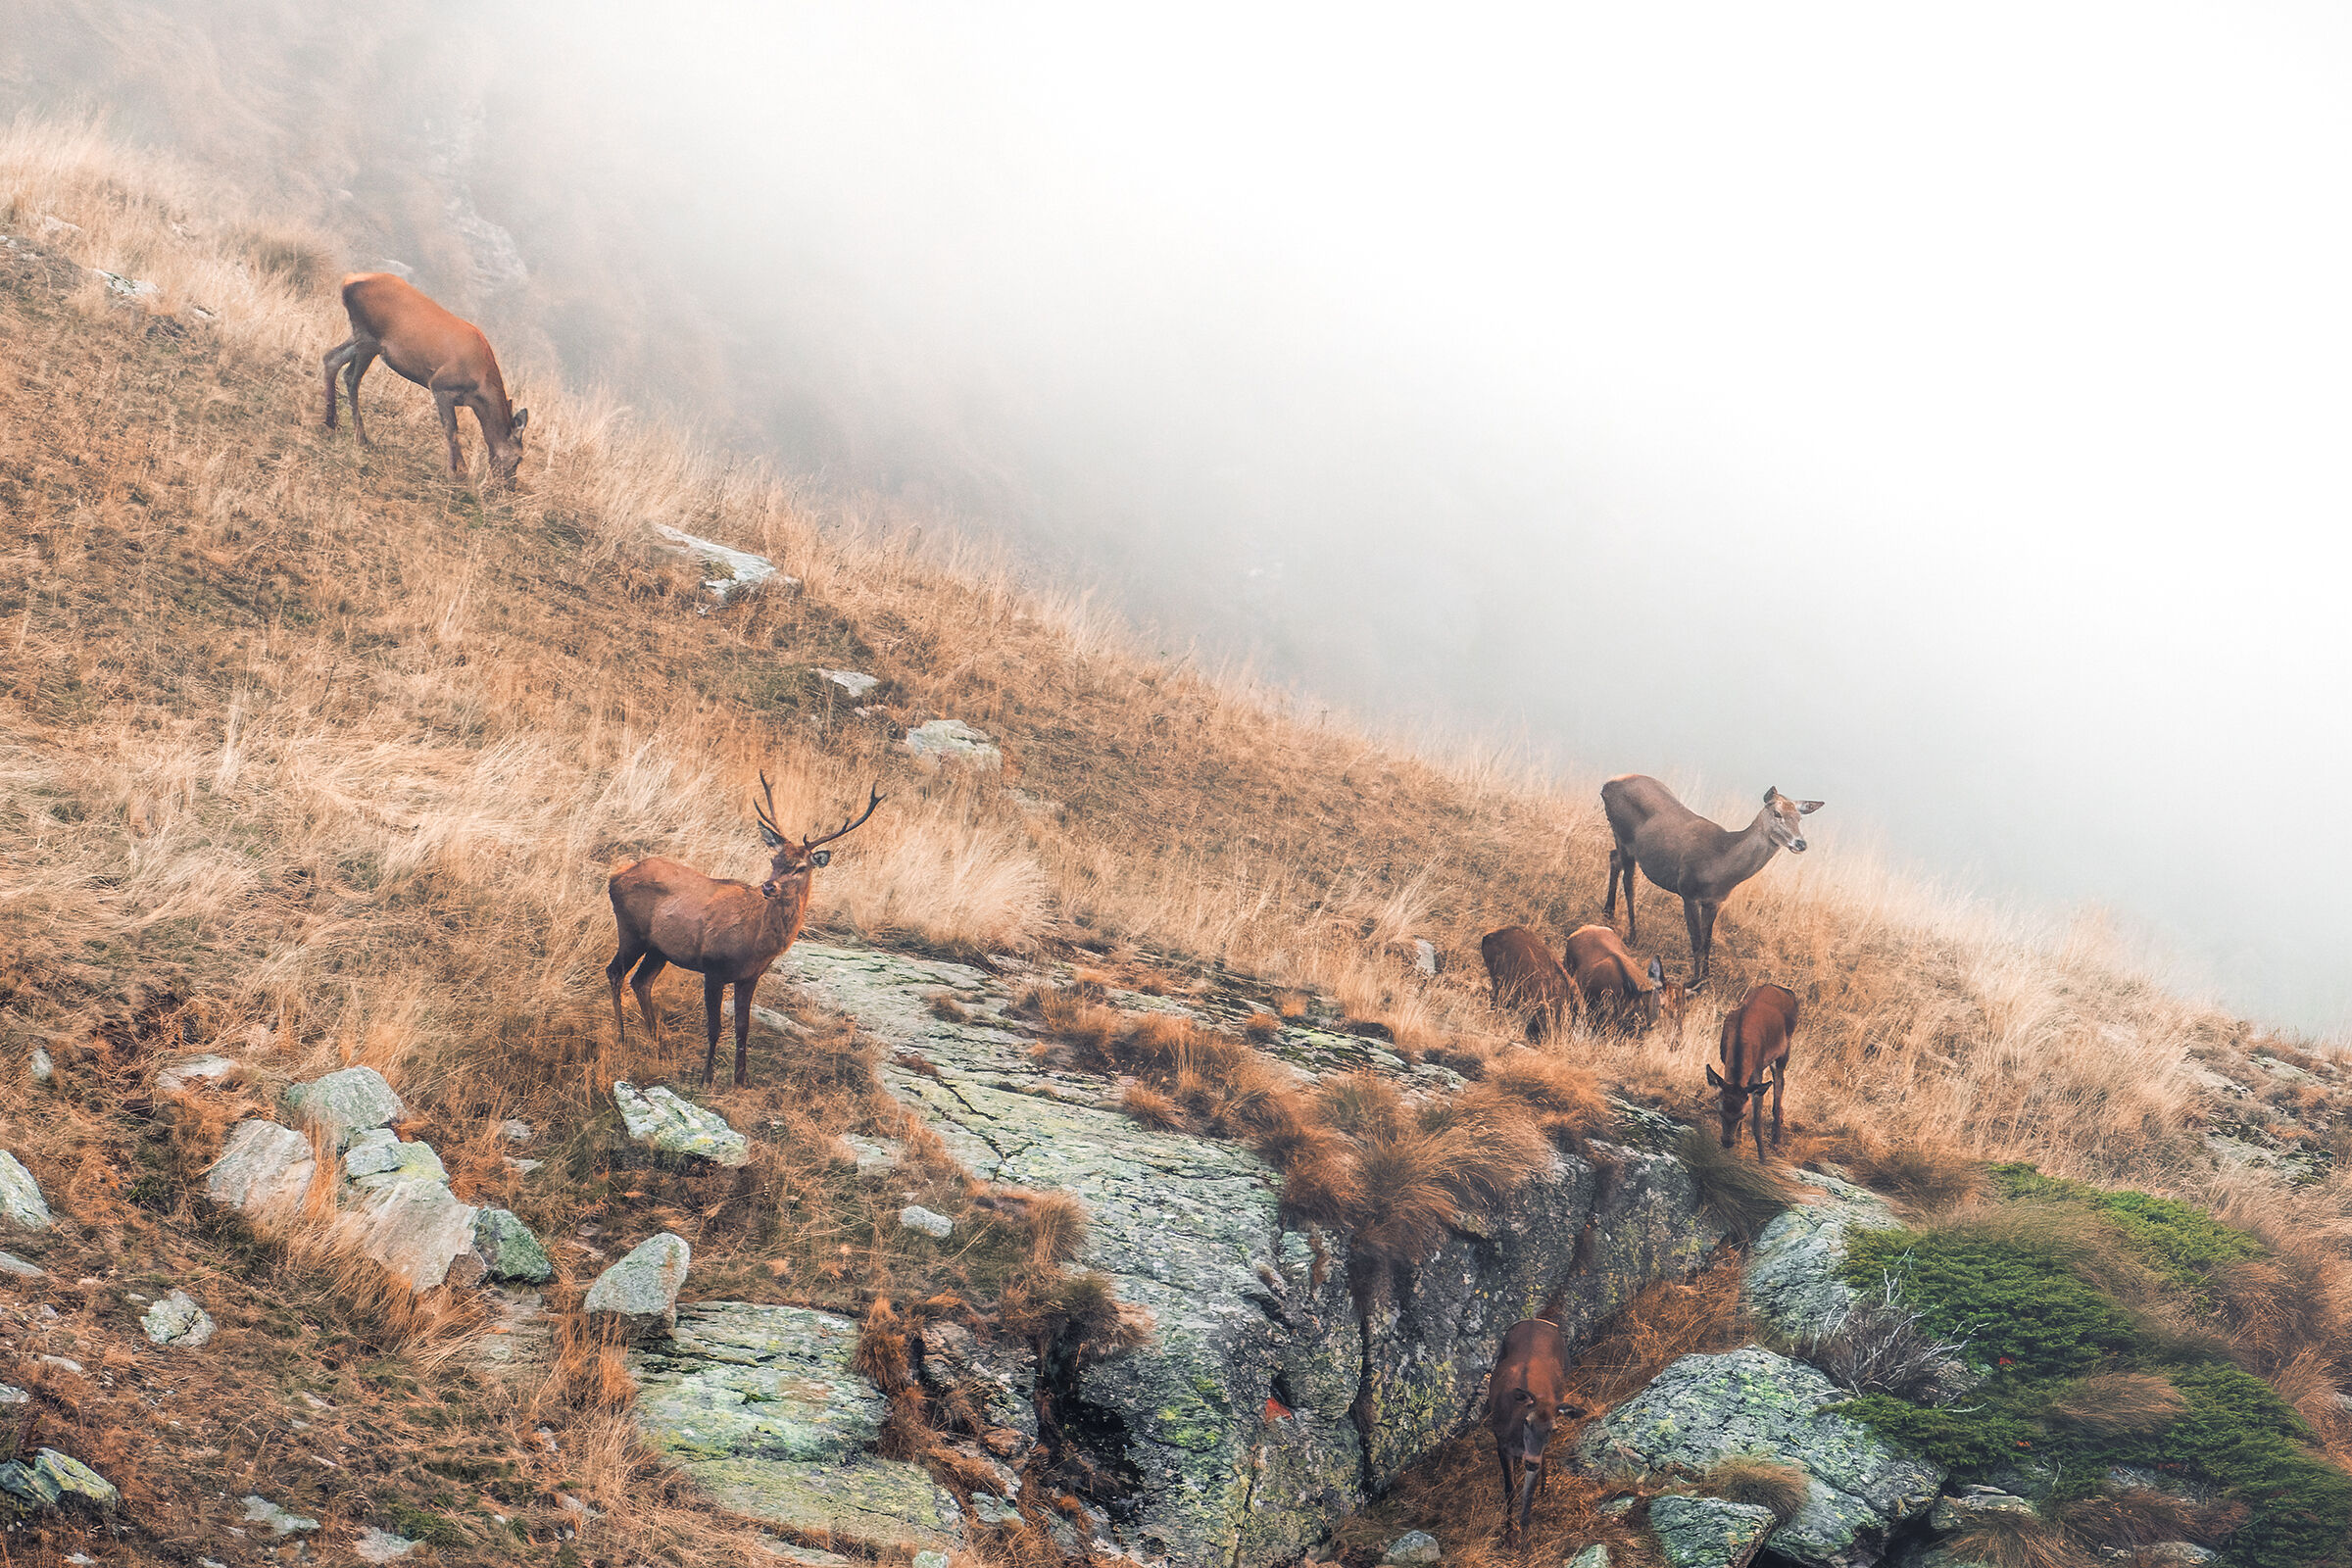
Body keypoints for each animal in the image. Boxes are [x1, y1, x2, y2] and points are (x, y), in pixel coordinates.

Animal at [322, 272, 529, 482]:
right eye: (519, 458)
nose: (509, 485)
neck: (479, 387)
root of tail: (349, 281)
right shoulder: (440, 385)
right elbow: (451, 429)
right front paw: (459, 471)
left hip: (360, 336)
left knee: (331, 358)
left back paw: (331, 423)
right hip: (369, 337)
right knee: (351, 377)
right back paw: (360, 437)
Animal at [605, 775, 883, 1089]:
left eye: (801, 867)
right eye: (774, 861)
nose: (768, 886)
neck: (755, 943)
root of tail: (616, 875)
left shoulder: (750, 977)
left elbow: (743, 1027)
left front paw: (741, 1079)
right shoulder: (713, 968)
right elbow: (715, 1027)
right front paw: (707, 1078)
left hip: (659, 948)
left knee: (641, 982)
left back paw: (659, 1045)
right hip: (630, 929)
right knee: (615, 972)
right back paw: (622, 1037)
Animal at [1484, 1316, 1585, 1545]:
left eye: (1554, 1429)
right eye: (1527, 1421)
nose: (1530, 1462)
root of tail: (1539, 1320)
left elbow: (1527, 1496)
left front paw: (1524, 1538)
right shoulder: (1501, 1445)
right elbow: (1509, 1490)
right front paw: (1508, 1533)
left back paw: (1544, 1487)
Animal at [1600, 777, 1823, 991]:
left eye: (1799, 818)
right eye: (1777, 813)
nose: (1801, 843)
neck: (1719, 864)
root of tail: (1608, 784)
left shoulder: (1715, 901)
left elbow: (1707, 941)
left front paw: (1707, 978)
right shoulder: (1688, 891)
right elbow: (1696, 941)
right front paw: (1694, 980)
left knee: (1613, 858)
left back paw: (1608, 913)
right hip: (1623, 835)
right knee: (1629, 883)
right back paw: (1632, 935)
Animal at [1706, 983, 1798, 1161]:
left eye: (1742, 1115)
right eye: (1720, 1111)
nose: (1727, 1142)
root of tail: (1788, 991)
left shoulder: (1758, 1068)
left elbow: (1756, 1118)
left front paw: (1762, 1156)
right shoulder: (1724, 1059)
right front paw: (1740, 1139)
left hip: (1785, 1050)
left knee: (1779, 1085)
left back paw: (1776, 1140)